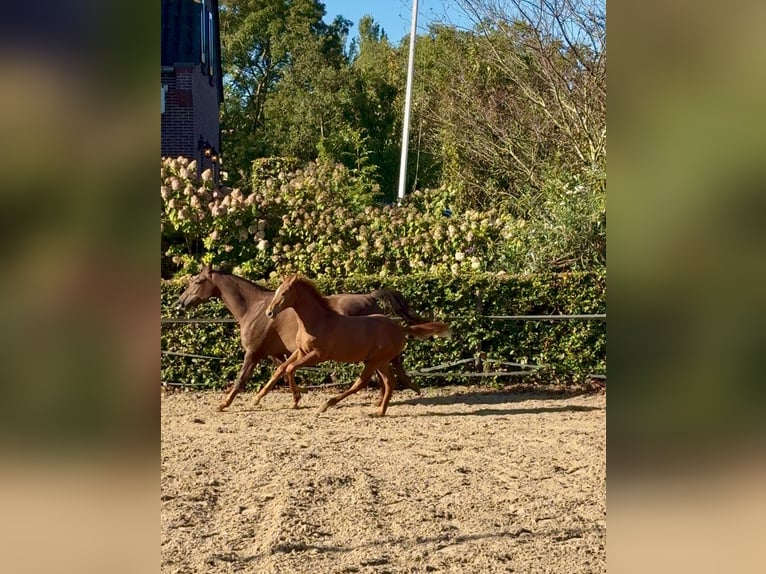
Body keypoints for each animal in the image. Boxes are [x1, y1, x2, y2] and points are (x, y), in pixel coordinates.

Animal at [174, 268, 424, 412]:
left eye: (197, 281)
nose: (180, 302)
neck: (253, 308)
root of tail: (370, 297)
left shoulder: (253, 353)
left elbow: (242, 379)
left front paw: (224, 404)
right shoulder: (279, 353)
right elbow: (281, 372)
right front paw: (284, 397)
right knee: (385, 373)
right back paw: (382, 400)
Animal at [260, 276, 450, 416]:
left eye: (284, 293)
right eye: (276, 291)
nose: (269, 313)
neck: (317, 321)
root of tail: (401, 328)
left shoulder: (318, 355)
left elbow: (290, 368)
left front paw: (297, 397)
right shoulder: (302, 351)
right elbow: (286, 368)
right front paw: (295, 399)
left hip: (374, 361)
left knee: (361, 383)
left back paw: (327, 404)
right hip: (379, 361)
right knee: (389, 381)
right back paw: (380, 411)